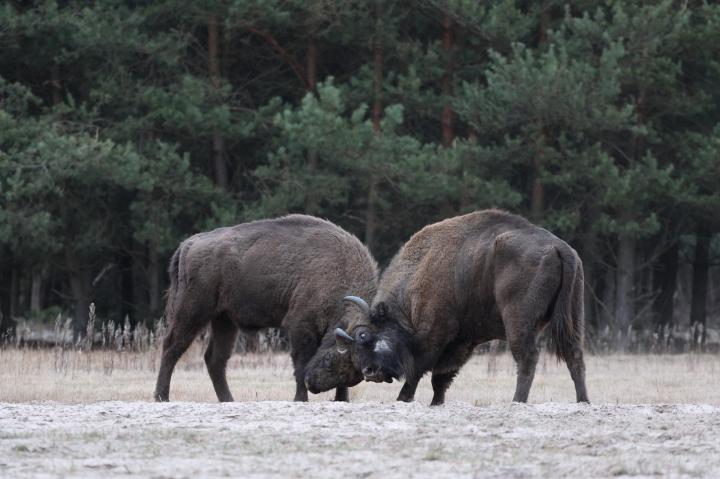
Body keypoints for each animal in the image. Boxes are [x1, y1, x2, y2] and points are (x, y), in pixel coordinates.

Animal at [154, 215, 376, 402]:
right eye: (329, 358)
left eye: (355, 373)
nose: (312, 385)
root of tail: (189, 244)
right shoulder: (300, 327)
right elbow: (300, 362)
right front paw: (300, 398)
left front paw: (341, 399)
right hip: (192, 312)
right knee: (172, 347)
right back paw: (161, 396)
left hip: (224, 320)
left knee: (215, 359)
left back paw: (228, 400)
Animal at [328, 209, 589, 405]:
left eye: (366, 336)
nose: (370, 372)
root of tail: (559, 247)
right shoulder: (462, 342)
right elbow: (441, 377)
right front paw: (436, 402)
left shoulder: (435, 333)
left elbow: (419, 369)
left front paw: (404, 398)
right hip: (573, 316)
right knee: (574, 355)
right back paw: (583, 401)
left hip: (519, 322)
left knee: (527, 358)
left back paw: (517, 401)